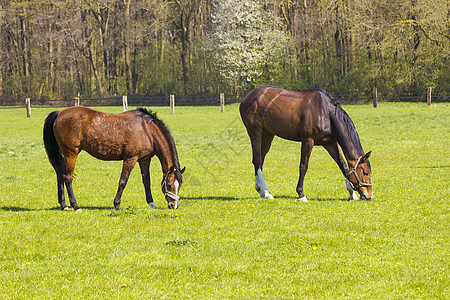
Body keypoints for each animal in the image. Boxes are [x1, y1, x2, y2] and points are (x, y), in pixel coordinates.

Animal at [43, 106, 185, 210]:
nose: (174, 206)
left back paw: (64, 205)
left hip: (67, 155)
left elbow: (146, 181)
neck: (147, 130)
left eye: (180, 185)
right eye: (169, 184)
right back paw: (75, 206)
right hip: (71, 153)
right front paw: (117, 204)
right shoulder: (130, 159)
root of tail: (59, 113)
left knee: (59, 174)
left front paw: (151, 203)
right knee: (67, 177)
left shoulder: (144, 159)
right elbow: (123, 181)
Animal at [241, 85, 370, 202]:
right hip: (256, 134)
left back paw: (261, 191)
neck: (326, 114)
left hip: (268, 134)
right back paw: (266, 192)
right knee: (257, 160)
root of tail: (247, 98)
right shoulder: (308, 141)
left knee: (259, 160)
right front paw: (301, 194)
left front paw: (352, 193)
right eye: (365, 172)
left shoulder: (330, 143)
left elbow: (342, 164)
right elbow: (303, 166)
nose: (369, 195)